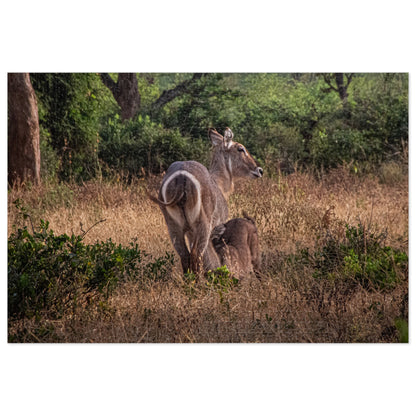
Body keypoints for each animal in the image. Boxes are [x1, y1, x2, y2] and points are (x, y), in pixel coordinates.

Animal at [150, 128, 262, 274]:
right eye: (240, 148)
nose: (259, 170)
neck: (219, 185)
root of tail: (181, 176)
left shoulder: (190, 232)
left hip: (173, 226)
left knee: (185, 256)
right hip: (202, 224)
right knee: (196, 255)